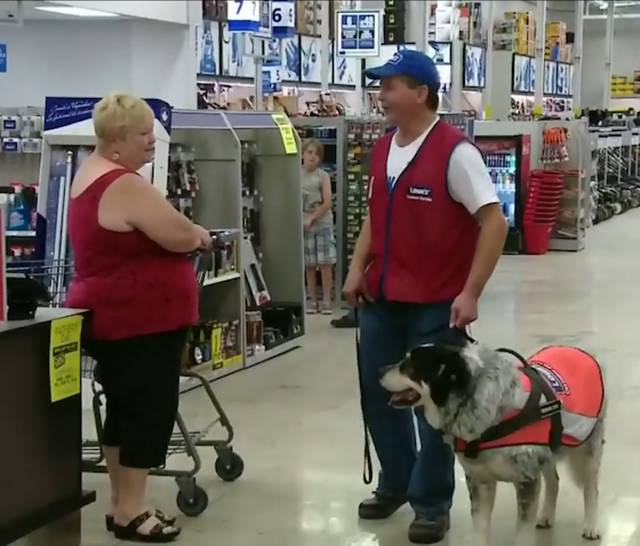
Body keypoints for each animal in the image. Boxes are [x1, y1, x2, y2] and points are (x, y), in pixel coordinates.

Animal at [380, 342, 604, 540]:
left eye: (408, 365)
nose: (380, 370)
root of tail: (574, 349)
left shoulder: (527, 481)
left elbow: (522, 535)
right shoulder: (479, 481)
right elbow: (480, 529)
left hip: (588, 450)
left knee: (591, 489)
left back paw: (591, 525)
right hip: (549, 449)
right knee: (554, 481)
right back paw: (547, 515)